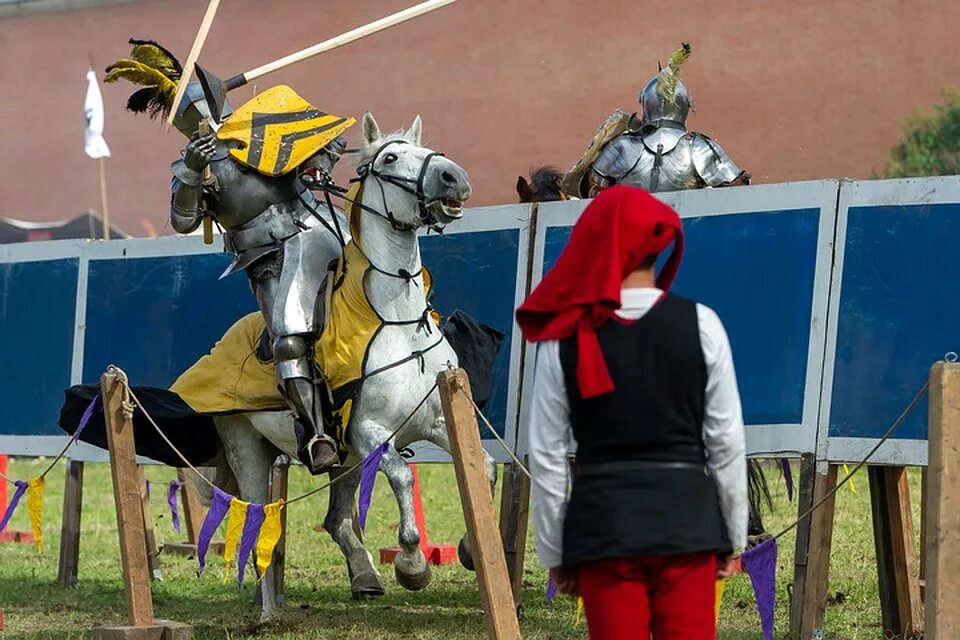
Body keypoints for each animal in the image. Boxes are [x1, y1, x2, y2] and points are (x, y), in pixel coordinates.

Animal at [207, 114, 498, 620]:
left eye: (430, 151)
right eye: (390, 158)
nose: (454, 178)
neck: (396, 320)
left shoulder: (440, 422)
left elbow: (481, 464)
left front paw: (466, 548)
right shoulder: (370, 432)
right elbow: (402, 475)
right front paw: (412, 564)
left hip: (343, 459)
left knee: (335, 520)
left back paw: (363, 577)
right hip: (248, 444)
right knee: (255, 516)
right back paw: (268, 611)